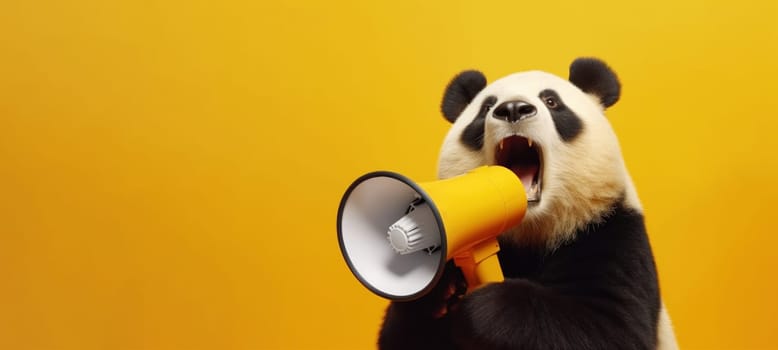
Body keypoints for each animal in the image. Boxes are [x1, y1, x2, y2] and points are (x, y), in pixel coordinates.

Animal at [376, 58, 672, 350]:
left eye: (551, 101)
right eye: (486, 107)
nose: (513, 109)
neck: (532, 229)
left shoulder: (611, 232)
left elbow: (613, 327)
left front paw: (485, 308)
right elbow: (400, 337)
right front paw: (440, 291)